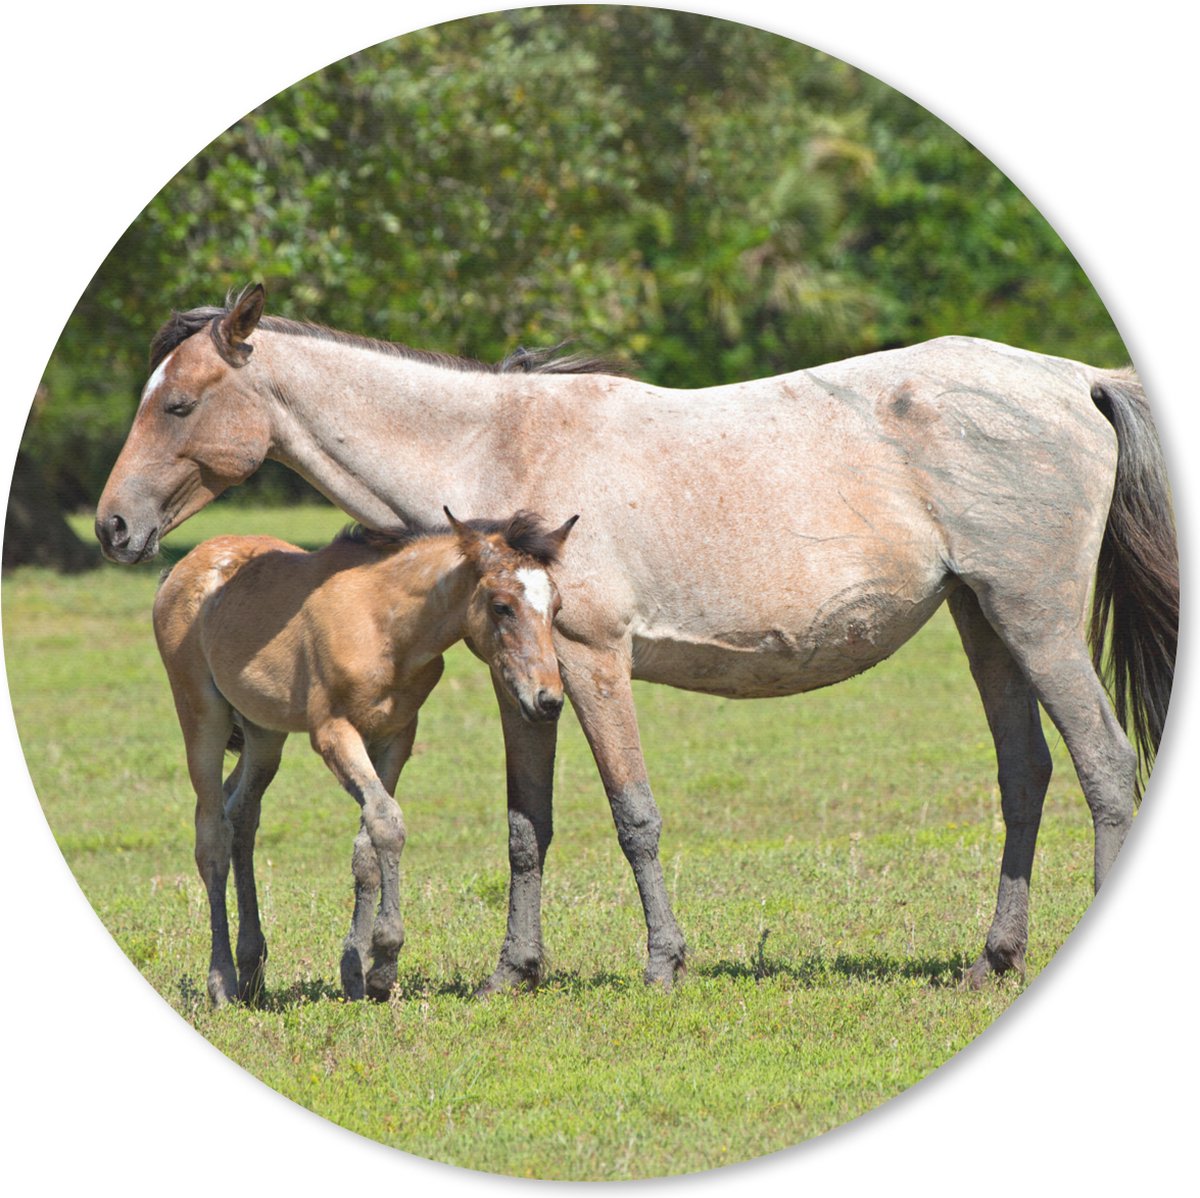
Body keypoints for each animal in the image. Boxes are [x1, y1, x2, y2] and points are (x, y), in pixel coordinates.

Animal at [152, 506, 577, 1004]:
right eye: (501, 606)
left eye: (557, 607)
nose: (548, 700)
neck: (385, 626)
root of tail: (181, 568)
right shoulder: (333, 732)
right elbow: (387, 823)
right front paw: (385, 958)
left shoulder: (396, 734)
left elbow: (368, 843)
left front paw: (358, 972)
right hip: (202, 714)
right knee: (212, 833)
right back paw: (221, 981)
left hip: (264, 733)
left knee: (242, 814)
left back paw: (252, 969)